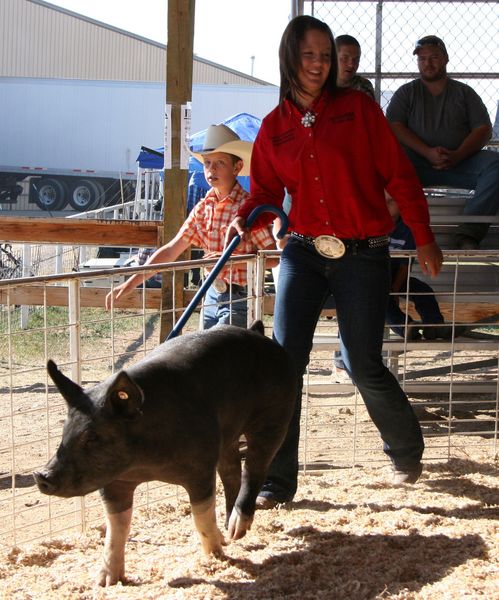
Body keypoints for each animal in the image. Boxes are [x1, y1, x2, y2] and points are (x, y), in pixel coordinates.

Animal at [33, 324, 296, 584]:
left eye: (92, 437)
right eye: (65, 431)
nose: (42, 475)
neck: (144, 465)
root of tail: (260, 335)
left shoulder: (200, 466)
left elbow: (201, 515)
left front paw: (216, 557)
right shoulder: (114, 483)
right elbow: (117, 527)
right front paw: (105, 581)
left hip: (275, 415)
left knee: (254, 469)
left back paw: (236, 528)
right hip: (227, 435)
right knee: (231, 472)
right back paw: (231, 533)